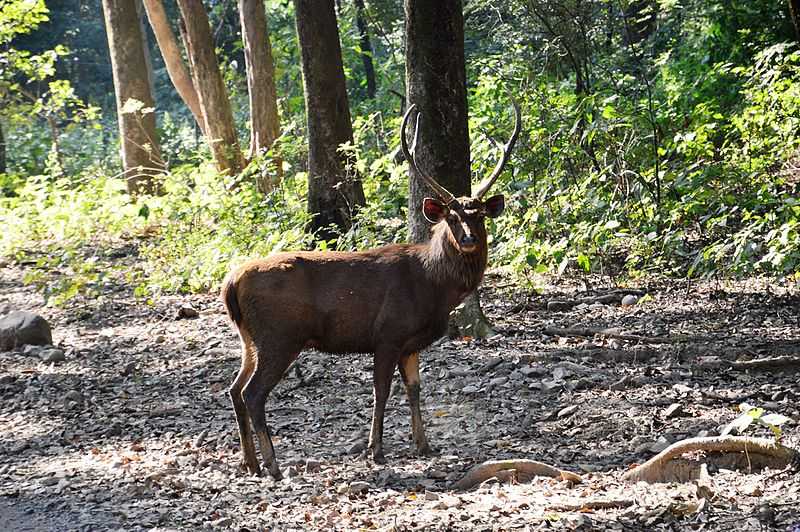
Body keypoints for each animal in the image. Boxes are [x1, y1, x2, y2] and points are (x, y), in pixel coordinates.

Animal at [222, 98, 520, 478]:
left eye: (479, 215)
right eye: (452, 217)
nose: (468, 240)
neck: (434, 287)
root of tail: (231, 283)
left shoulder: (409, 344)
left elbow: (415, 389)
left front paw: (424, 445)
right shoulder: (388, 333)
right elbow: (382, 391)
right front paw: (375, 451)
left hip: (249, 338)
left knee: (234, 388)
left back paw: (250, 463)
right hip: (279, 335)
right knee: (252, 392)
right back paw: (272, 465)